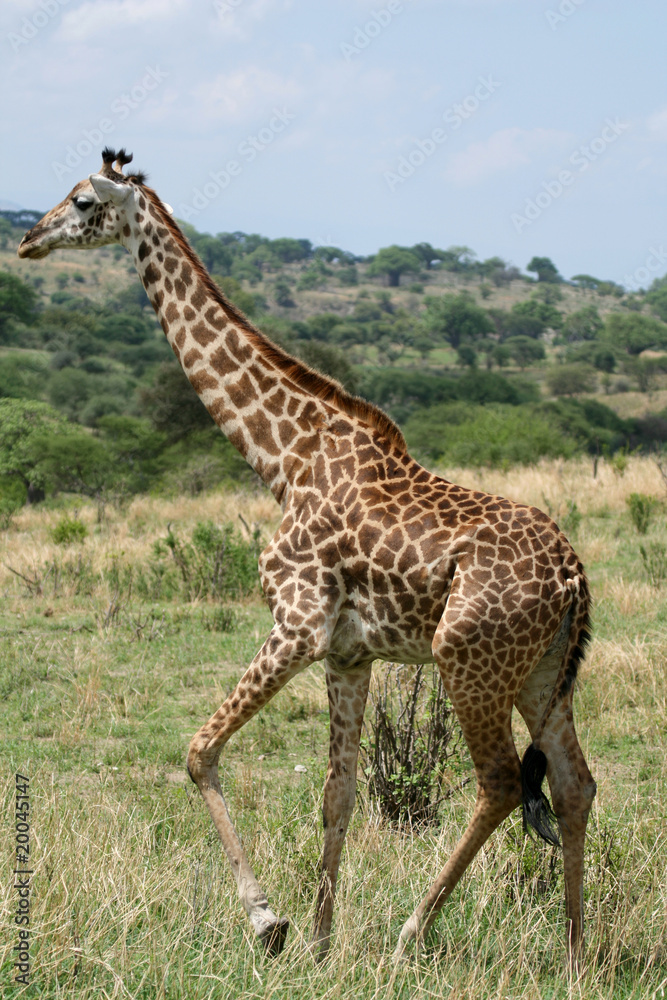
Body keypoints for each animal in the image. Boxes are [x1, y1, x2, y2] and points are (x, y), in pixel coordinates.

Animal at [18, 146, 596, 960]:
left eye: (79, 200)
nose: (27, 239)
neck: (282, 457)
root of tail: (575, 578)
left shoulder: (296, 625)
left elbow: (199, 751)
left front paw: (270, 922)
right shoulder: (348, 652)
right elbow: (338, 793)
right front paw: (320, 944)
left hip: (467, 660)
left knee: (501, 782)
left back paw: (410, 935)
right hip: (541, 673)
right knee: (574, 785)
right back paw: (573, 955)